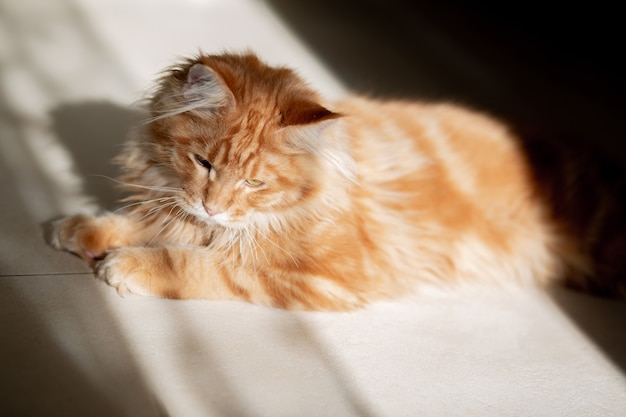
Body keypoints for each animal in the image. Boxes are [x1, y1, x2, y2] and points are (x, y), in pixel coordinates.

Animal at [50, 52, 624, 308]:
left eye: (255, 184)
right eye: (204, 163)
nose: (214, 206)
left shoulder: (315, 276)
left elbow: (197, 266)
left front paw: (127, 264)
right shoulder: (177, 207)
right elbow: (141, 221)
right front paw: (82, 229)